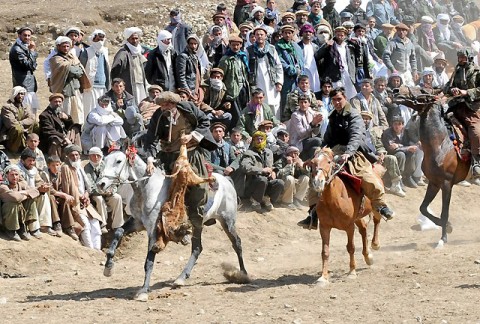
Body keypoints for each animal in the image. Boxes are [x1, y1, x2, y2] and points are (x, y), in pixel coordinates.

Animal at [97, 149, 248, 302]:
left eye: (119, 161)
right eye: (104, 160)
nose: (101, 184)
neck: (146, 189)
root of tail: (226, 180)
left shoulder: (153, 230)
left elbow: (149, 261)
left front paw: (144, 291)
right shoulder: (137, 222)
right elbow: (118, 232)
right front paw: (108, 267)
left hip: (227, 221)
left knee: (236, 243)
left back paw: (243, 274)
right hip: (200, 225)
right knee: (197, 248)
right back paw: (181, 278)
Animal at [310, 147, 380, 286]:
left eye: (329, 162)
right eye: (313, 162)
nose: (318, 182)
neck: (333, 200)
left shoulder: (349, 227)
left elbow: (351, 248)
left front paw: (352, 272)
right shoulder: (324, 227)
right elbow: (325, 252)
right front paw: (323, 277)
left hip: (375, 206)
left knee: (376, 220)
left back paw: (375, 244)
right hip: (358, 217)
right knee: (364, 229)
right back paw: (368, 256)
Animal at [394, 89, 468, 248]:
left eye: (421, 94)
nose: (397, 93)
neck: (440, 145)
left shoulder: (446, 183)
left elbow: (444, 213)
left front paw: (443, 238)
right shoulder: (434, 183)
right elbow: (423, 208)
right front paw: (449, 227)